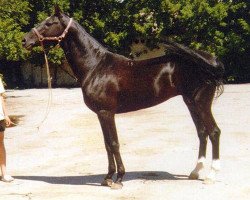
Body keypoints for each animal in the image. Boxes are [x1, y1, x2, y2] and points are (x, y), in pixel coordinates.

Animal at [22, 5, 224, 188]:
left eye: (49, 23)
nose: (25, 40)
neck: (96, 66)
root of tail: (209, 60)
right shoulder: (101, 114)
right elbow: (106, 144)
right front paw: (108, 178)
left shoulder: (106, 112)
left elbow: (113, 143)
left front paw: (118, 178)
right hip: (191, 102)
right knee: (202, 133)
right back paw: (195, 172)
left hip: (201, 103)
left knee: (214, 132)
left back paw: (211, 175)